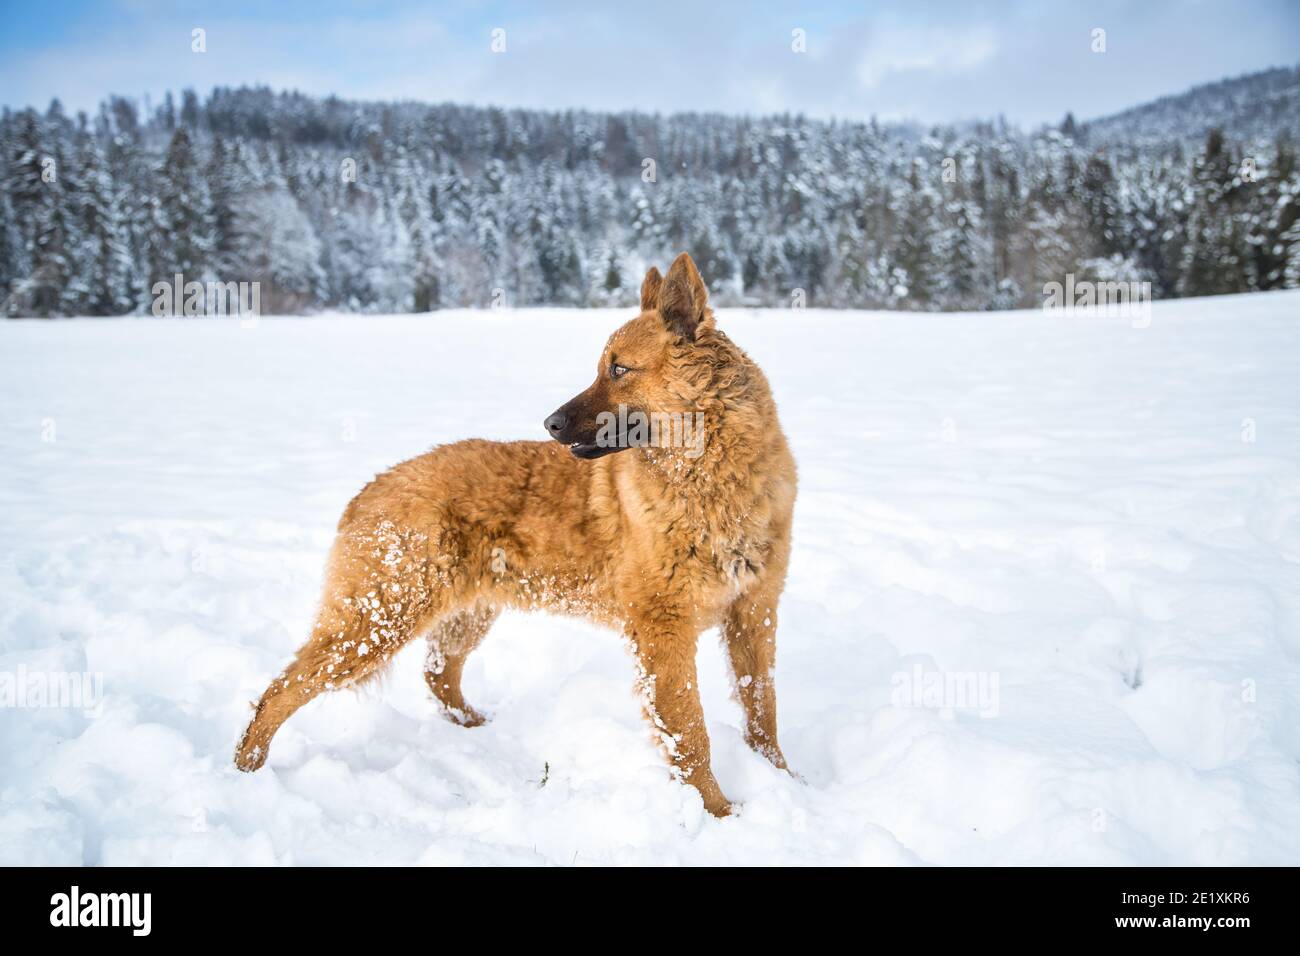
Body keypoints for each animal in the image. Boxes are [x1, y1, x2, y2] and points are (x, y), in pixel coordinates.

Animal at [237, 252, 795, 816]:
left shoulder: (754, 614)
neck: (709, 482)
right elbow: (690, 733)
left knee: (437, 673)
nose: (549, 423)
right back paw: (246, 769)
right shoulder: (664, 632)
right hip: (377, 622)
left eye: (619, 369)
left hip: (464, 614)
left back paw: (473, 728)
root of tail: (371, 487)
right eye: (604, 367)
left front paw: (784, 781)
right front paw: (718, 812)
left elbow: (763, 711)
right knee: (281, 690)